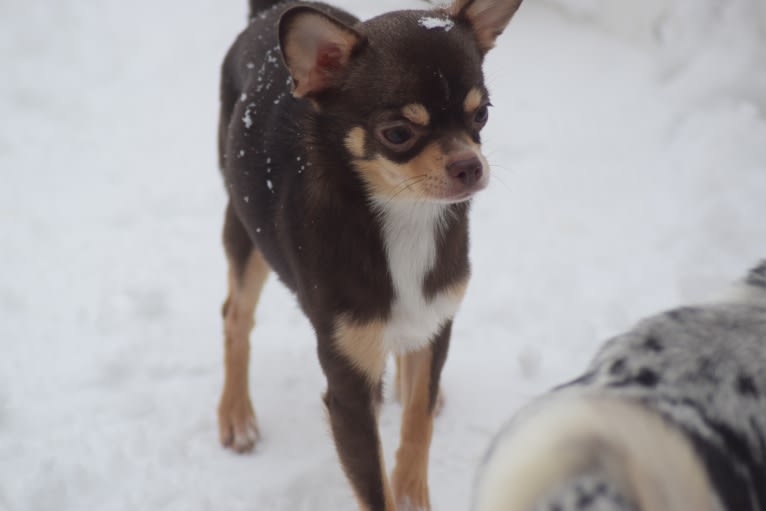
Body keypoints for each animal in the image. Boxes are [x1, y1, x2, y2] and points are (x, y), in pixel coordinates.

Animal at [219, 2, 524, 510]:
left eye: (481, 114)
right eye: (397, 133)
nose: (470, 165)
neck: (406, 217)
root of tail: (268, 13)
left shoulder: (437, 317)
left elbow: (419, 420)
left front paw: (413, 489)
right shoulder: (349, 391)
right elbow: (375, 487)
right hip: (243, 230)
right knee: (235, 316)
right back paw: (237, 416)